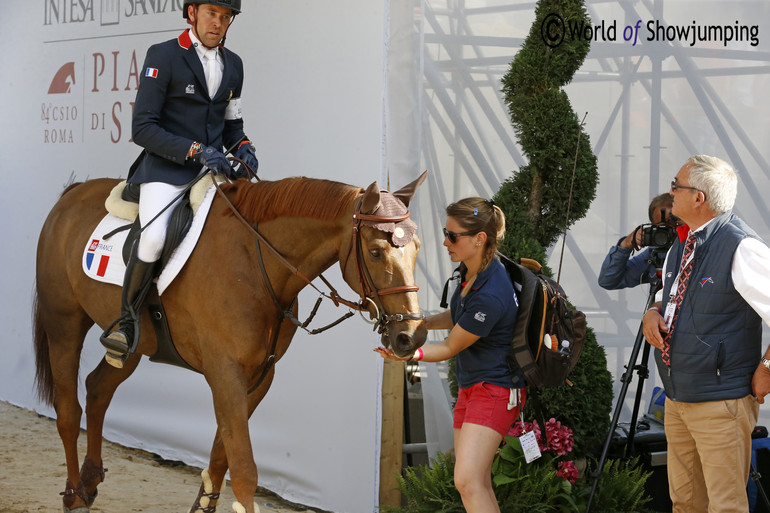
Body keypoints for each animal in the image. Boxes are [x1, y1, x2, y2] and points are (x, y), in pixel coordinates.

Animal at [33, 173, 426, 512]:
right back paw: (75, 496)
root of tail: (74, 193)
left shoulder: (259, 375)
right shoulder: (225, 374)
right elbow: (244, 469)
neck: (256, 262)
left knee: (98, 388)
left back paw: (90, 480)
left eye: (418, 249)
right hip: (64, 323)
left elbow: (222, 457)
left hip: (133, 345)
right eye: (375, 252)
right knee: (68, 412)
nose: (412, 335)